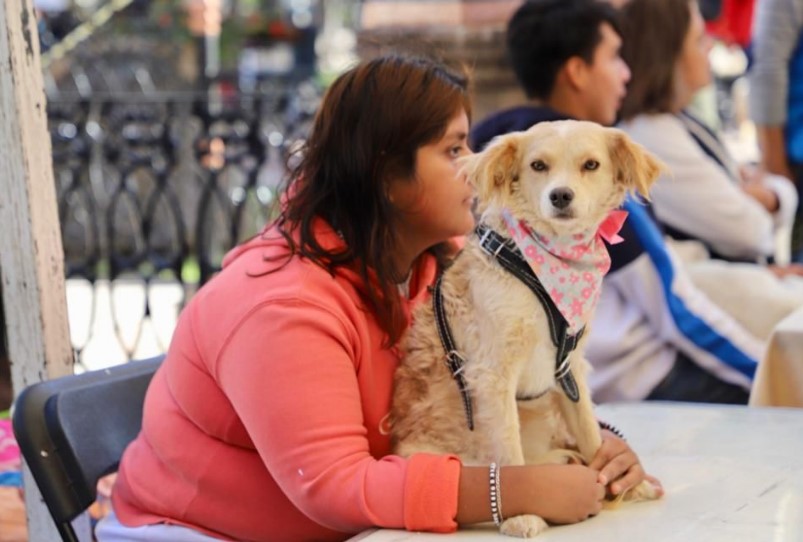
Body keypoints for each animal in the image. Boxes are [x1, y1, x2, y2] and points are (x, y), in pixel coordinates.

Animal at [392, 120, 664, 540]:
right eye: (538, 165)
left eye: (591, 165)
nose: (561, 195)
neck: (541, 269)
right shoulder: (493, 375)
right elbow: (508, 452)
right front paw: (521, 514)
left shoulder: (569, 367)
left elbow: (589, 430)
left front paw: (624, 484)